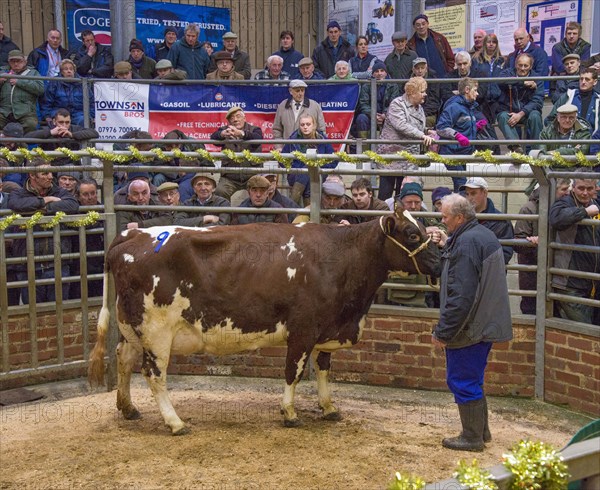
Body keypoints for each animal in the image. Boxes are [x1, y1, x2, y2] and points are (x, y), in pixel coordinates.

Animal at [89, 205, 438, 434]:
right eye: (411, 233)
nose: (439, 259)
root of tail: (131, 234)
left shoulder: (326, 328)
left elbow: (324, 369)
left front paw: (328, 408)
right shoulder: (302, 329)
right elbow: (293, 372)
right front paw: (289, 413)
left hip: (132, 328)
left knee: (123, 358)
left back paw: (128, 408)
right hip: (157, 330)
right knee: (154, 374)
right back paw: (175, 422)